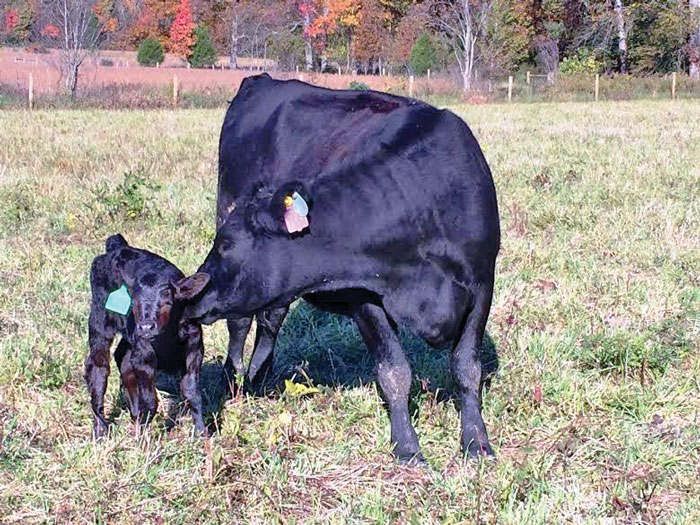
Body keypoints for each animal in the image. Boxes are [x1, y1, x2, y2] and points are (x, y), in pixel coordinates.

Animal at [180, 73, 498, 458]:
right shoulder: (362, 294)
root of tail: (264, 78)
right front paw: (407, 448)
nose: (190, 293)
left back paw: (260, 376)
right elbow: (394, 372)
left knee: (272, 316)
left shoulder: (482, 283)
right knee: (240, 321)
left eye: (226, 245)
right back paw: (233, 378)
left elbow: (467, 367)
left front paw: (477, 442)